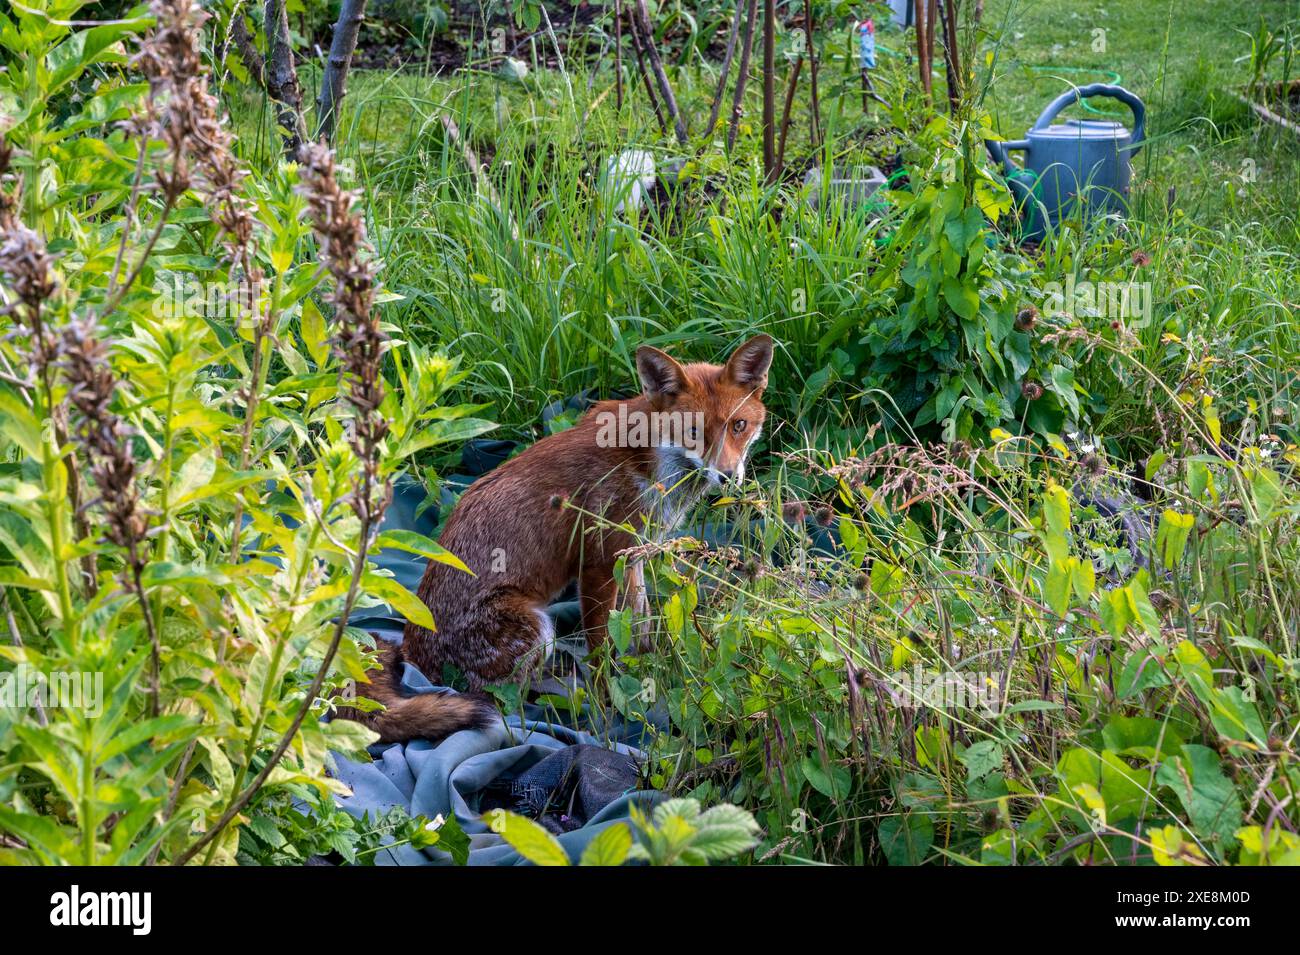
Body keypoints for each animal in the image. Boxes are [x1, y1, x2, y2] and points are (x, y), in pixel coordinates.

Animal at [337, 334, 774, 743]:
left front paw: (653, 674)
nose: (728, 477)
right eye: (693, 432)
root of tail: (412, 651)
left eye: (739, 426)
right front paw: (607, 707)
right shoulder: (597, 565)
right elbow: (601, 649)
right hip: (534, 628)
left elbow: (642, 624)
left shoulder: (632, 555)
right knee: (496, 698)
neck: (648, 459)